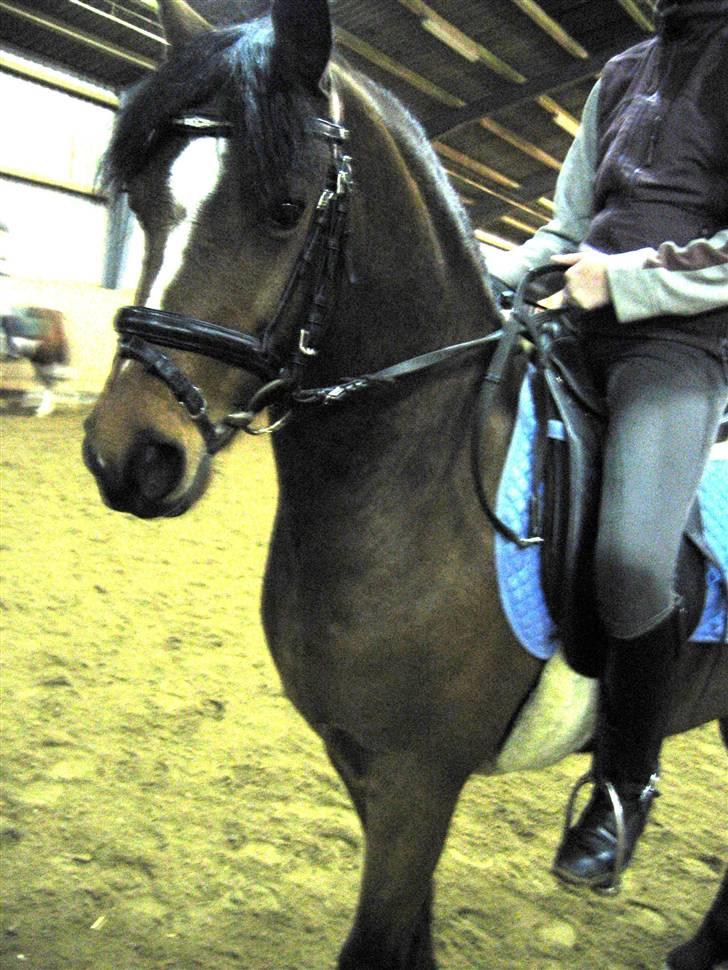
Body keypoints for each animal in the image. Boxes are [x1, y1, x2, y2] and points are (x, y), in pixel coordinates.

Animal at [82, 1, 728, 966]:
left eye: (285, 210)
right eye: (147, 199)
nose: (130, 456)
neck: (417, 488)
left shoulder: (414, 781)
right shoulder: (364, 769)